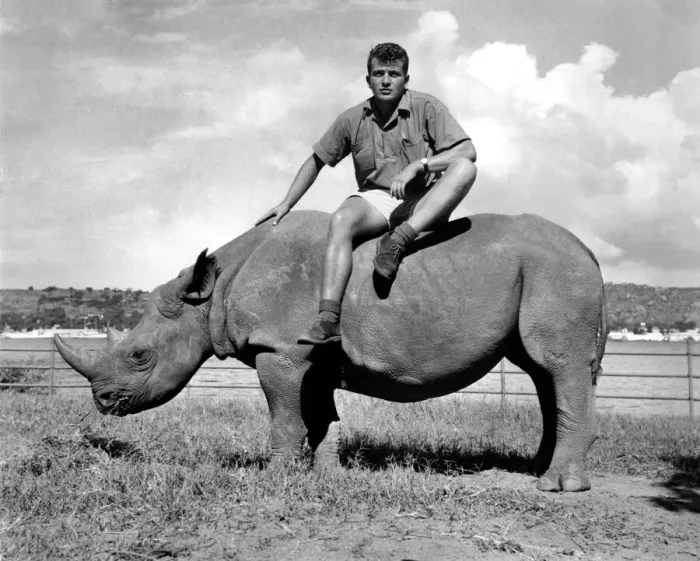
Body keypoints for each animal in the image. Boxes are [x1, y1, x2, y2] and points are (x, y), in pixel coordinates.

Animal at [55, 210, 607, 492]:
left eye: (140, 356)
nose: (103, 401)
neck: (210, 296)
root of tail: (588, 249)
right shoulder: (310, 352)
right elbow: (320, 413)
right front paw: (326, 472)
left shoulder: (278, 349)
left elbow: (285, 415)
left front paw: (274, 476)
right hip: (546, 272)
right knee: (542, 373)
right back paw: (537, 469)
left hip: (555, 273)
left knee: (557, 366)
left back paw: (558, 486)